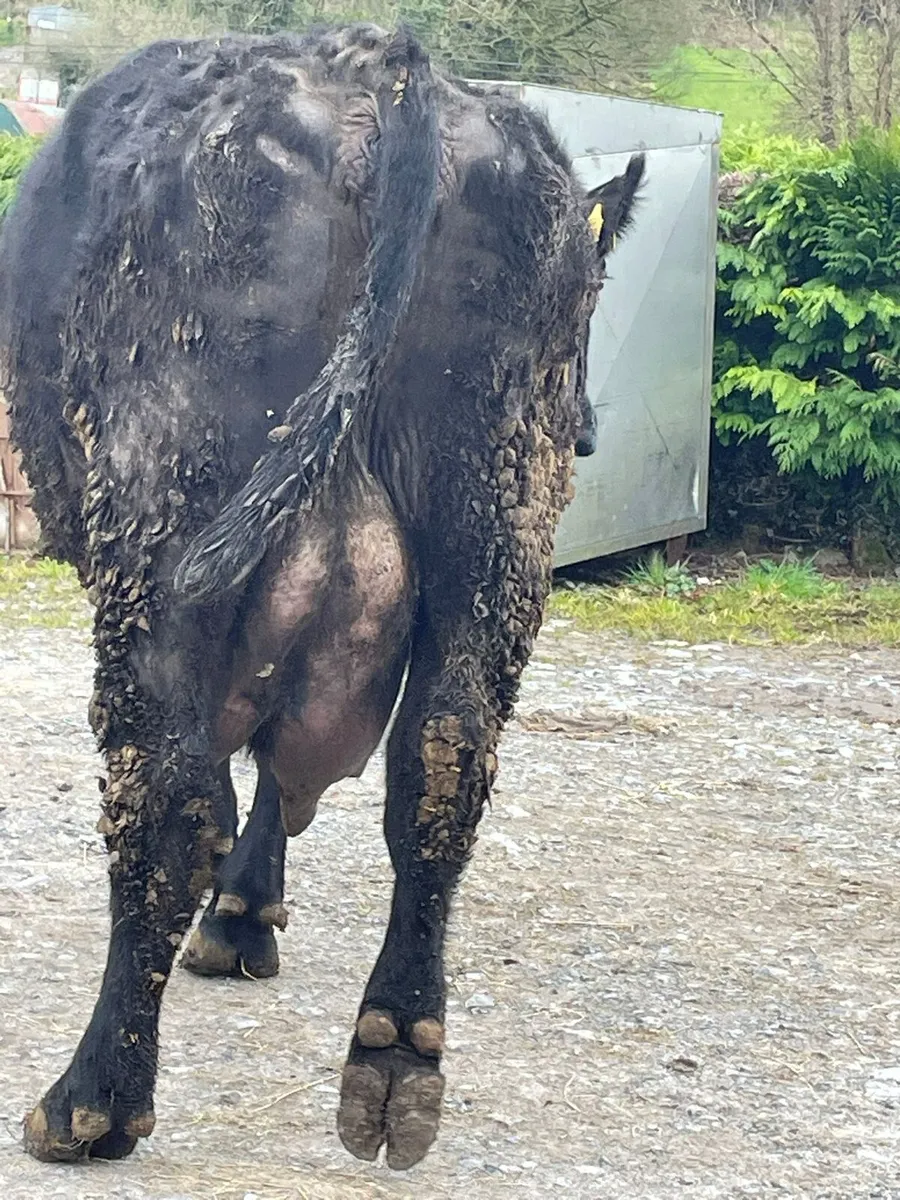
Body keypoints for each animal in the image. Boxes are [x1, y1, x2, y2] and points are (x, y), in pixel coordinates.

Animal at [0, 24, 644, 1171]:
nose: (590, 432)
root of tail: (388, 65)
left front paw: (234, 917)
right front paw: (248, 913)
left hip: (165, 527)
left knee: (164, 801)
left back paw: (90, 1100)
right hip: (494, 525)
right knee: (441, 765)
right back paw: (395, 1052)